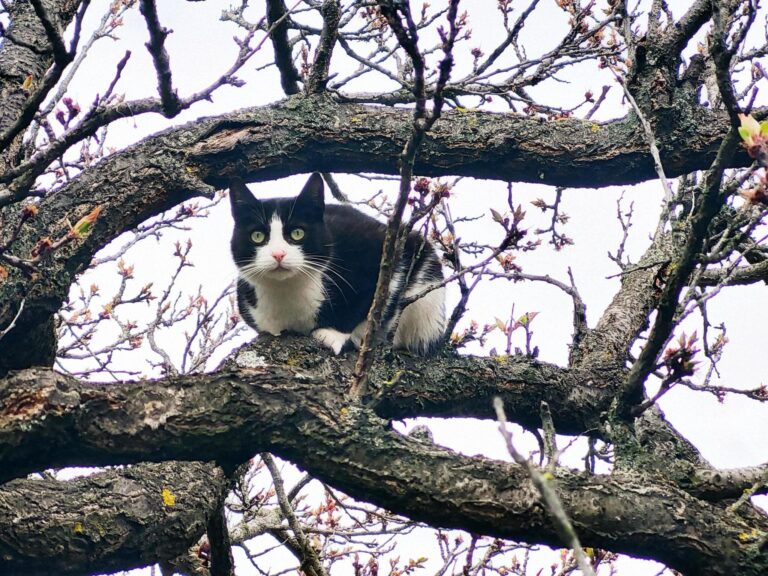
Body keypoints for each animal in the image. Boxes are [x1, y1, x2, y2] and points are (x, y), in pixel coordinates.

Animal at [228, 172, 444, 356]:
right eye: (257, 236)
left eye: (298, 233)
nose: (278, 254)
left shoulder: (381, 248)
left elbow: (374, 300)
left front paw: (331, 334)